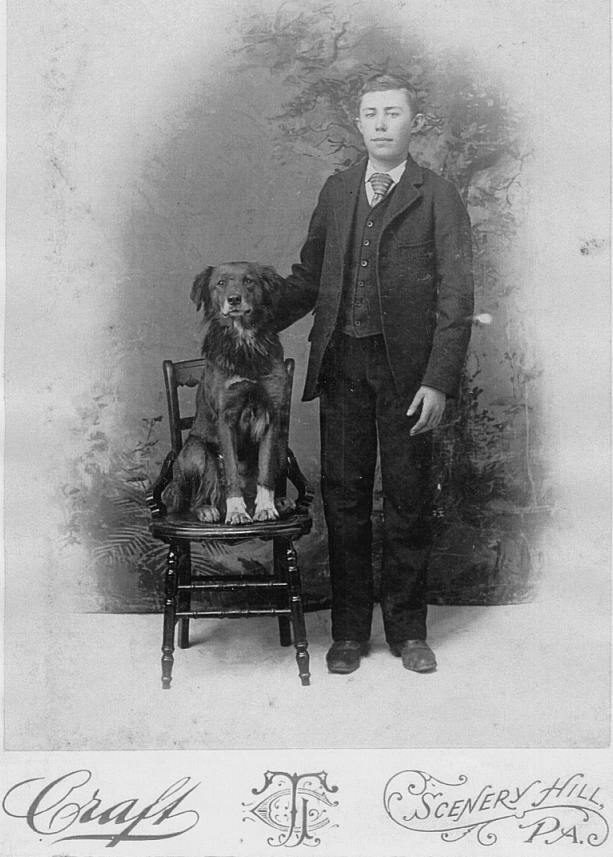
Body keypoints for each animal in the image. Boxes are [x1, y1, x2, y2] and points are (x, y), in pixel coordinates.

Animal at [161, 260, 288, 524]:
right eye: (220, 283)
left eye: (249, 281)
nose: (234, 299)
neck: (245, 343)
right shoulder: (226, 417)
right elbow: (230, 473)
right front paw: (237, 511)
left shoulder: (271, 414)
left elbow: (265, 471)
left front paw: (266, 507)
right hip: (196, 452)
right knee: (197, 495)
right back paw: (207, 509)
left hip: (282, 447)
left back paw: (278, 502)